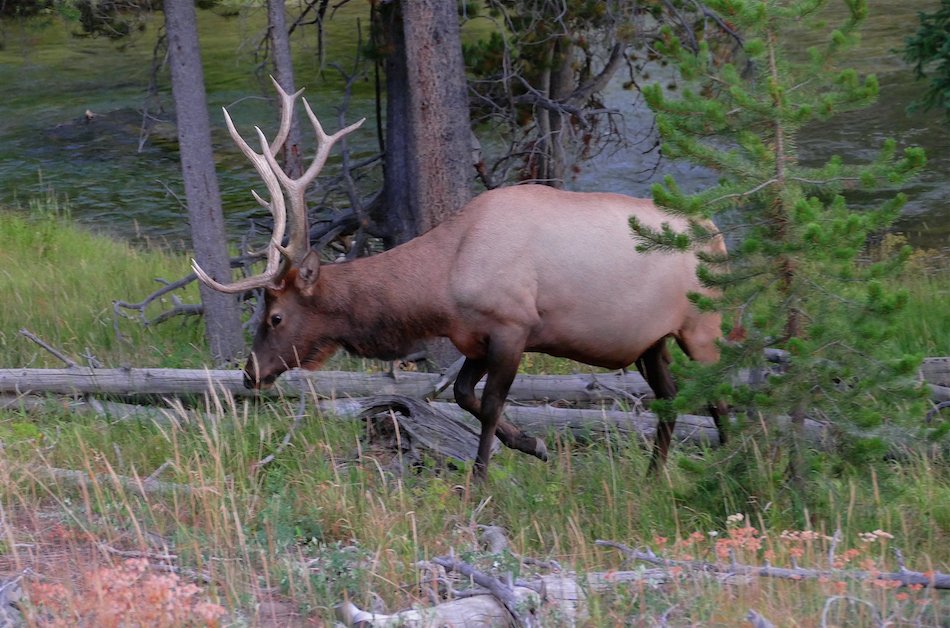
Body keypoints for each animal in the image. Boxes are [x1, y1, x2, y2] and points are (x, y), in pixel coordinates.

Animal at [194, 80, 728, 481]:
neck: (444, 281)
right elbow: (462, 395)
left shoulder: (513, 327)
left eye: (275, 316)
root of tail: (719, 236)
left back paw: (734, 466)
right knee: (669, 397)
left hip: (701, 325)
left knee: (720, 395)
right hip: (652, 340)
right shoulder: (473, 337)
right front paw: (532, 443)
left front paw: (481, 477)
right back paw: (655, 474)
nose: (249, 374)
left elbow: (488, 404)